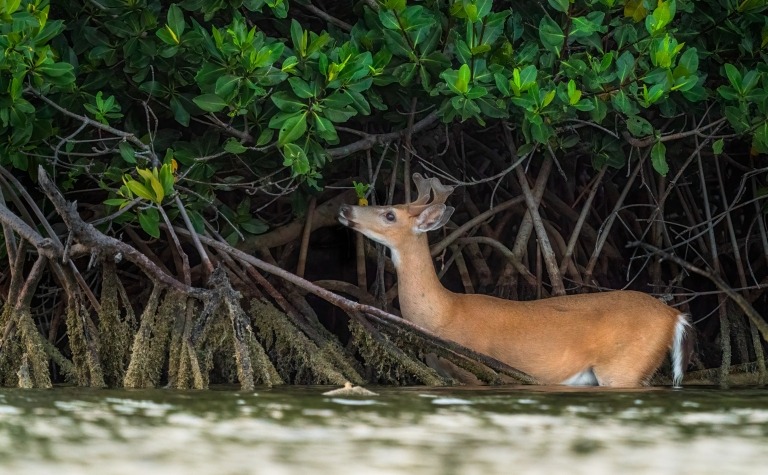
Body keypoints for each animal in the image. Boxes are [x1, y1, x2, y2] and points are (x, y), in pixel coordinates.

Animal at [338, 173, 693, 388]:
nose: (345, 209)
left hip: (623, 366)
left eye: (390, 215)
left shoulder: (474, 372)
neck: (443, 314)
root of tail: (674, 315)